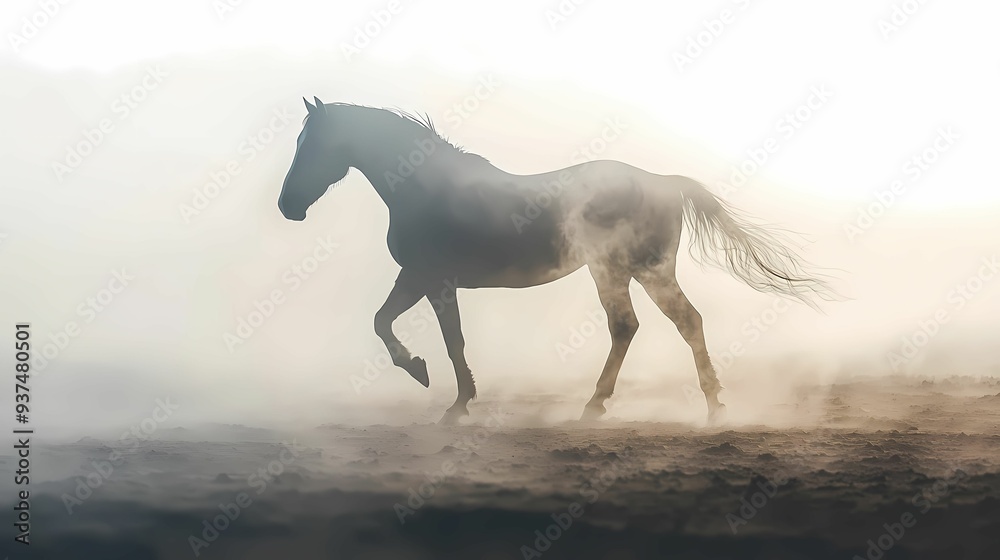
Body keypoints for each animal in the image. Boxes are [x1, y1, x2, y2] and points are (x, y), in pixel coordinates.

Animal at [278, 96, 834, 425]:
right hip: (636, 271)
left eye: (314, 143)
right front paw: (436, 382)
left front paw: (445, 394)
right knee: (671, 323)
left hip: (624, 270)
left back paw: (609, 405)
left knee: (641, 325)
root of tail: (663, 181)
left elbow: (432, 336)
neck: (422, 188)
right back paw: (700, 404)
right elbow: (395, 324)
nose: (288, 207)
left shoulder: (430, 278)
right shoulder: (422, 278)